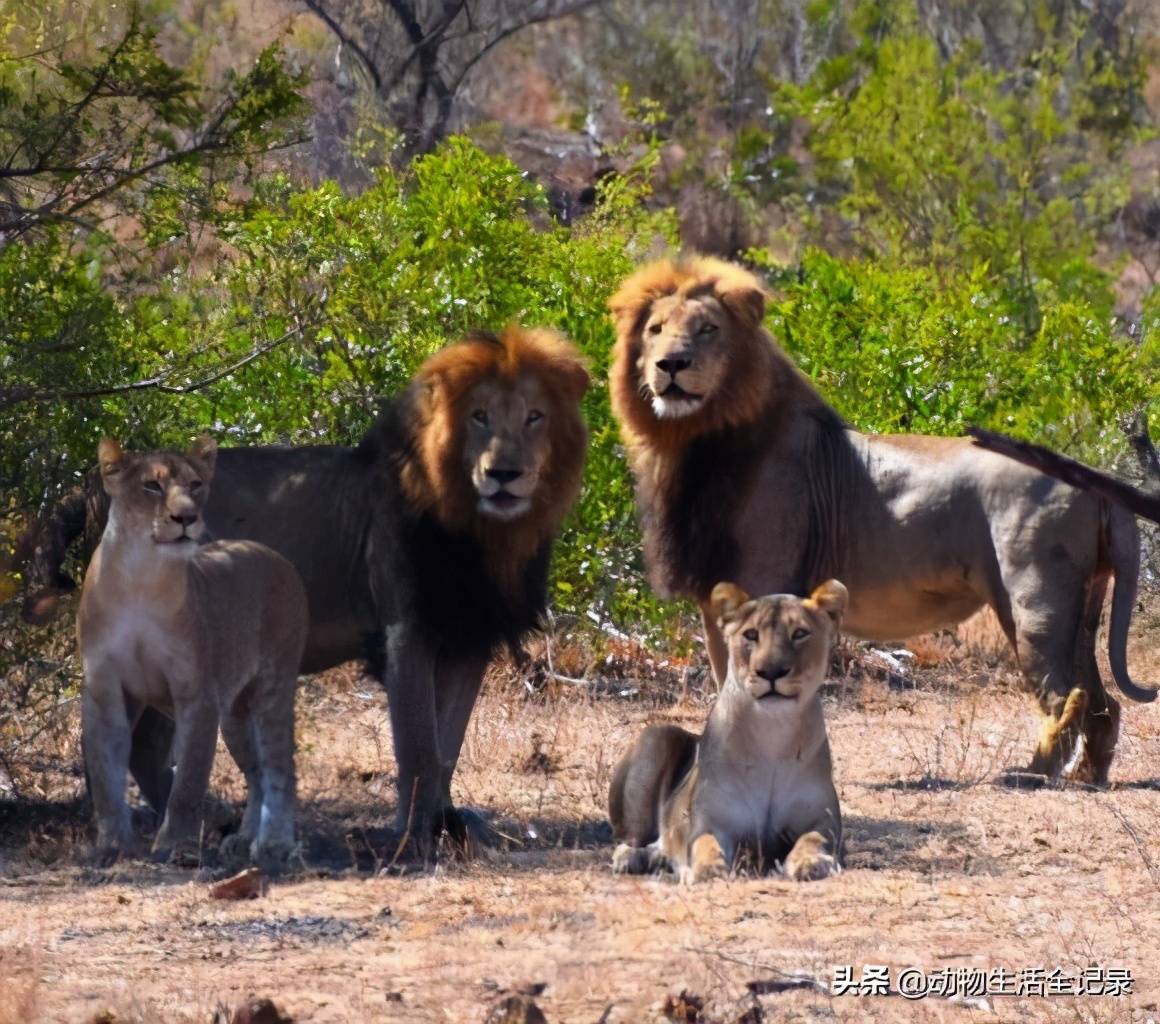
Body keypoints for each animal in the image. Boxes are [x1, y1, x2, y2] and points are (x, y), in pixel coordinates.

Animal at [28, 329, 589, 858]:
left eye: (534, 417)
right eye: (479, 417)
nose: (503, 474)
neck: (485, 531)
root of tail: (92, 486)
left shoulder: (467, 638)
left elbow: (447, 747)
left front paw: (443, 825)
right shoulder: (404, 633)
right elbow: (418, 749)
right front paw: (411, 838)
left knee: (146, 746)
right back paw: (208, 822)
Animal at [612, 256, 1155, 783]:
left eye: (707, 329)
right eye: (656, 329)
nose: (671, 364)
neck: (694, 439)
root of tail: (1094, 478)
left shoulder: (763, 584)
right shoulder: (715, 599)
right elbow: (727, 679)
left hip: (1035, 600)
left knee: (1068, 695)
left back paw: (1033, 772)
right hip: (1083, 602)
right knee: (1104, 700)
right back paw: (1087, 775)